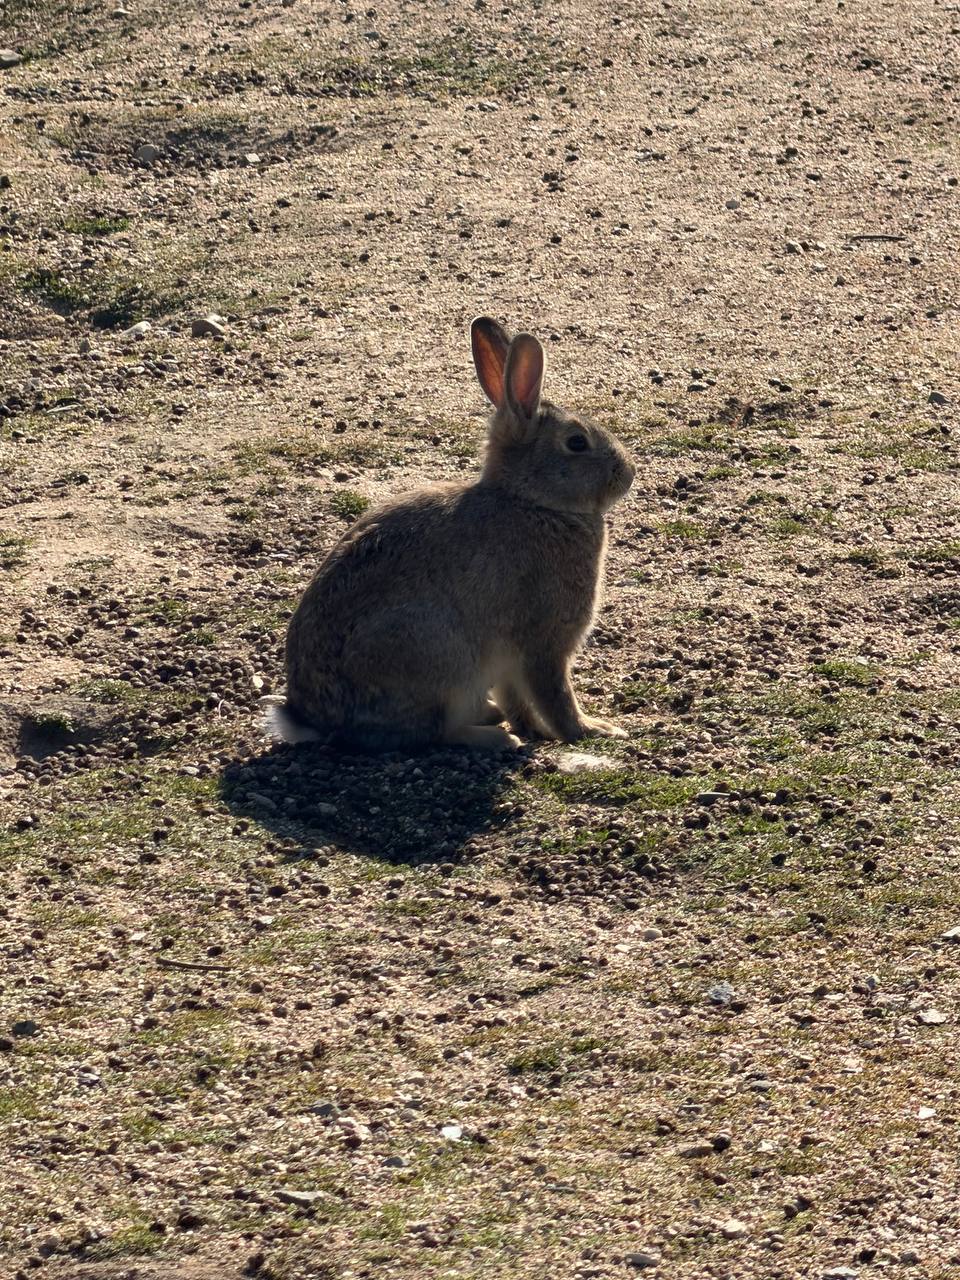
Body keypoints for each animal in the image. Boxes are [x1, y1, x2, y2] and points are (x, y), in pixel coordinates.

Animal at [263, 316, 635, 752]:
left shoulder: (507, 662)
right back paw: (497, 738)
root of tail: (317, 721)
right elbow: (555, 694)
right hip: (439, 659)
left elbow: (518, 699)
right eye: (577, 442)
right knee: (436, 732)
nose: (628, 473)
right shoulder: (543, 640)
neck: (531, 500)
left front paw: (537, 729)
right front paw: (592, 730)